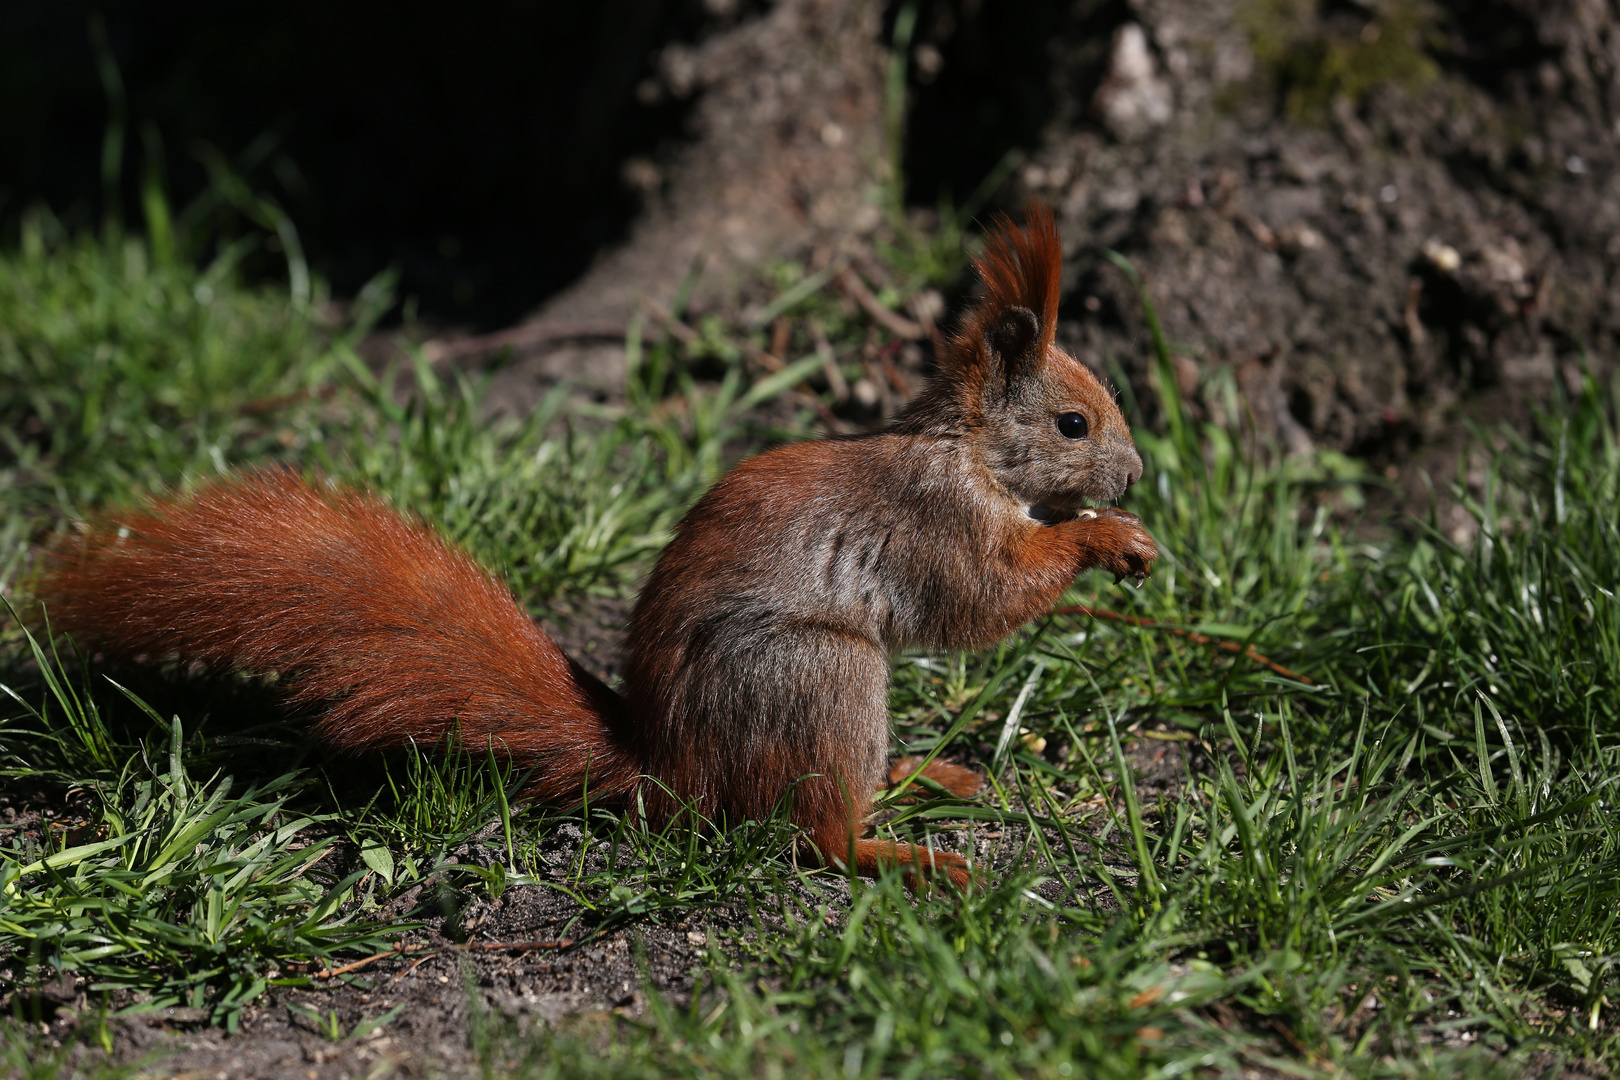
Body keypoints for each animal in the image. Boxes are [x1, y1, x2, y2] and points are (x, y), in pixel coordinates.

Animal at [31, 208, 1159, 887]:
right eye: (1073, 425)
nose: (1139, 473)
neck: (964, 450)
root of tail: (672, 775)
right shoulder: (935, 522)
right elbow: (984, 598)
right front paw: (1109, 540)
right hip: (817, 673)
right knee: (810, 836)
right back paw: (898, 852)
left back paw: (927, 778)